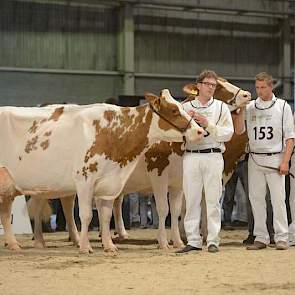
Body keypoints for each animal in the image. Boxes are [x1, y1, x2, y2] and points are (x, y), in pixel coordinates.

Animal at [0, 91, 206, 254]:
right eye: (174, 110)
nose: (200, 131)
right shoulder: (86, 179)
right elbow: (86, 214)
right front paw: (86, 247)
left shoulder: (112, 182)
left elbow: (106, 215)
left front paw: (109, 245)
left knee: (17, 211)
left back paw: (22, 243)